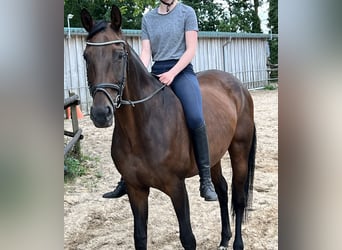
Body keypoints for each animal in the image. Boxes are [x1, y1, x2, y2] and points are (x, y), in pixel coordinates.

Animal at [81, 4, 255, 250]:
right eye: (86, 56)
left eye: (120, 55)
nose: (100, 114)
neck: (142, 128)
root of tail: (239, 86)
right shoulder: (136, 189)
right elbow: (140, 236)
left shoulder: (176, 187)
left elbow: (187, 238)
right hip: (214, 156)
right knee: (221, 190)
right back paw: (223, 238)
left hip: (239, 149)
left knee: (238, 198)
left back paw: (237, 243)